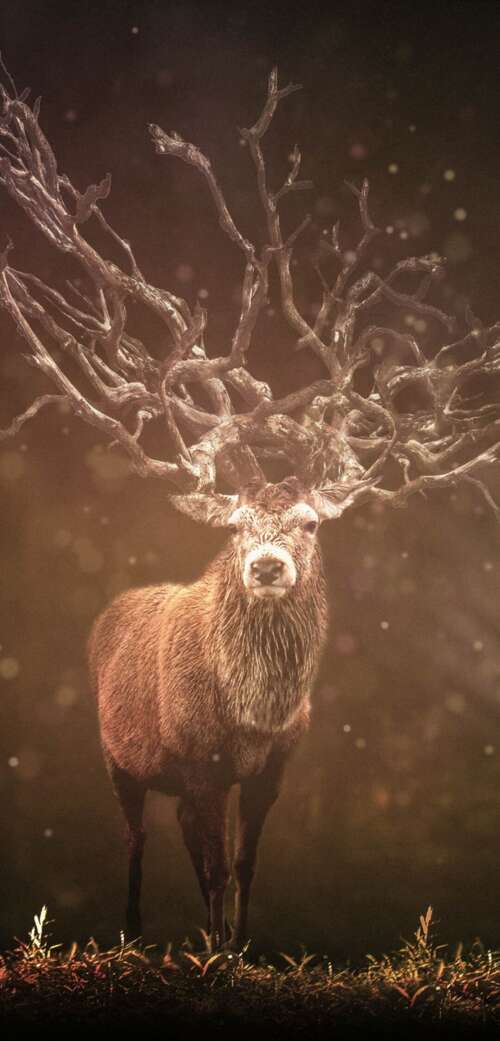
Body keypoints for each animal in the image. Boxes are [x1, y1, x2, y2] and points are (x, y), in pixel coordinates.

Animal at [0, 65, 499, 949]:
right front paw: (208, 951)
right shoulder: (195, 759)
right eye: (235, 526)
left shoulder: (272, 767)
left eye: (310, 521)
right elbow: (205, 863)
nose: (267, 565)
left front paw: (237, 943)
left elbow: (243, 861)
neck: (253, 715)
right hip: (117, 755)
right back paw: (132, 931)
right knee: (135, 836)